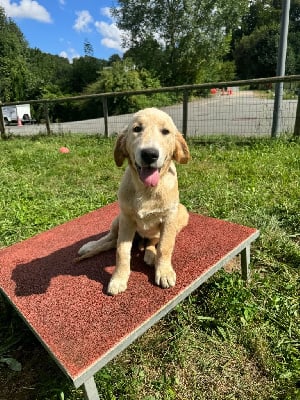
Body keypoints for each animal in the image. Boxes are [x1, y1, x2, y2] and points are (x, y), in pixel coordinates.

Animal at [77, 108, 190, 296]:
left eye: (165, 131)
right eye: (137, 129)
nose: (150, 154)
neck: (146, 190)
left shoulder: (169, 219)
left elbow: (165, 247)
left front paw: (164, 272)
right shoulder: (127, 220)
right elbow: (121, 251)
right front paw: (118, 279)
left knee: (152, 242)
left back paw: (150, 255)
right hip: (117, 219)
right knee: (110, 237)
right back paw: (90, 246)